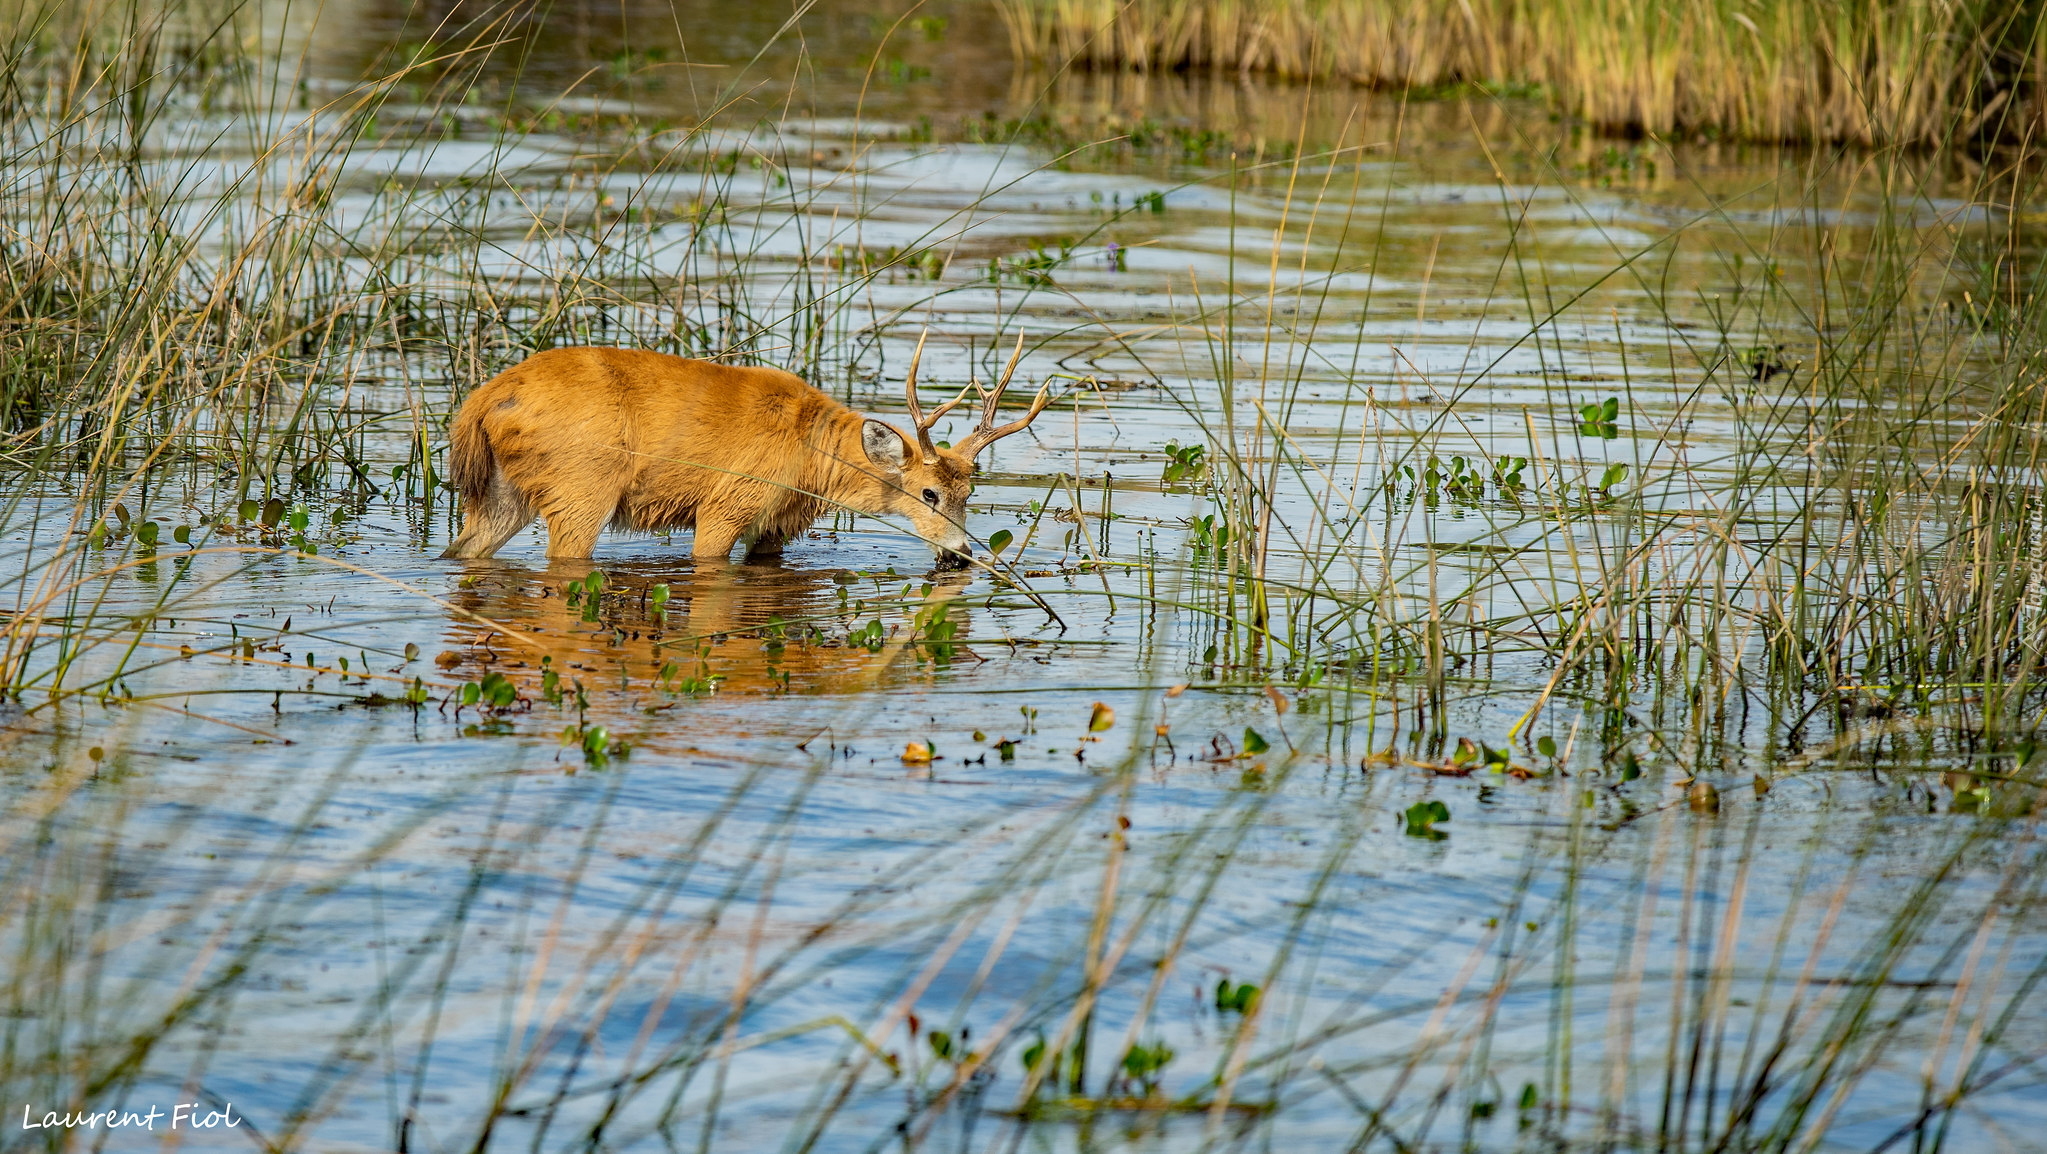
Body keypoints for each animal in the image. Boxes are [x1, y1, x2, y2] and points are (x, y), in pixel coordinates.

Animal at [429, 331, 1039, 564]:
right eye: (929, 492)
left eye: (969, 493)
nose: (959, 554)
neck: (811, 455)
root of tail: (484, 399)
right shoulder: (729, 502)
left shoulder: (779, 522)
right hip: (581, 485)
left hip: (503, 490)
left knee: (463, 548)